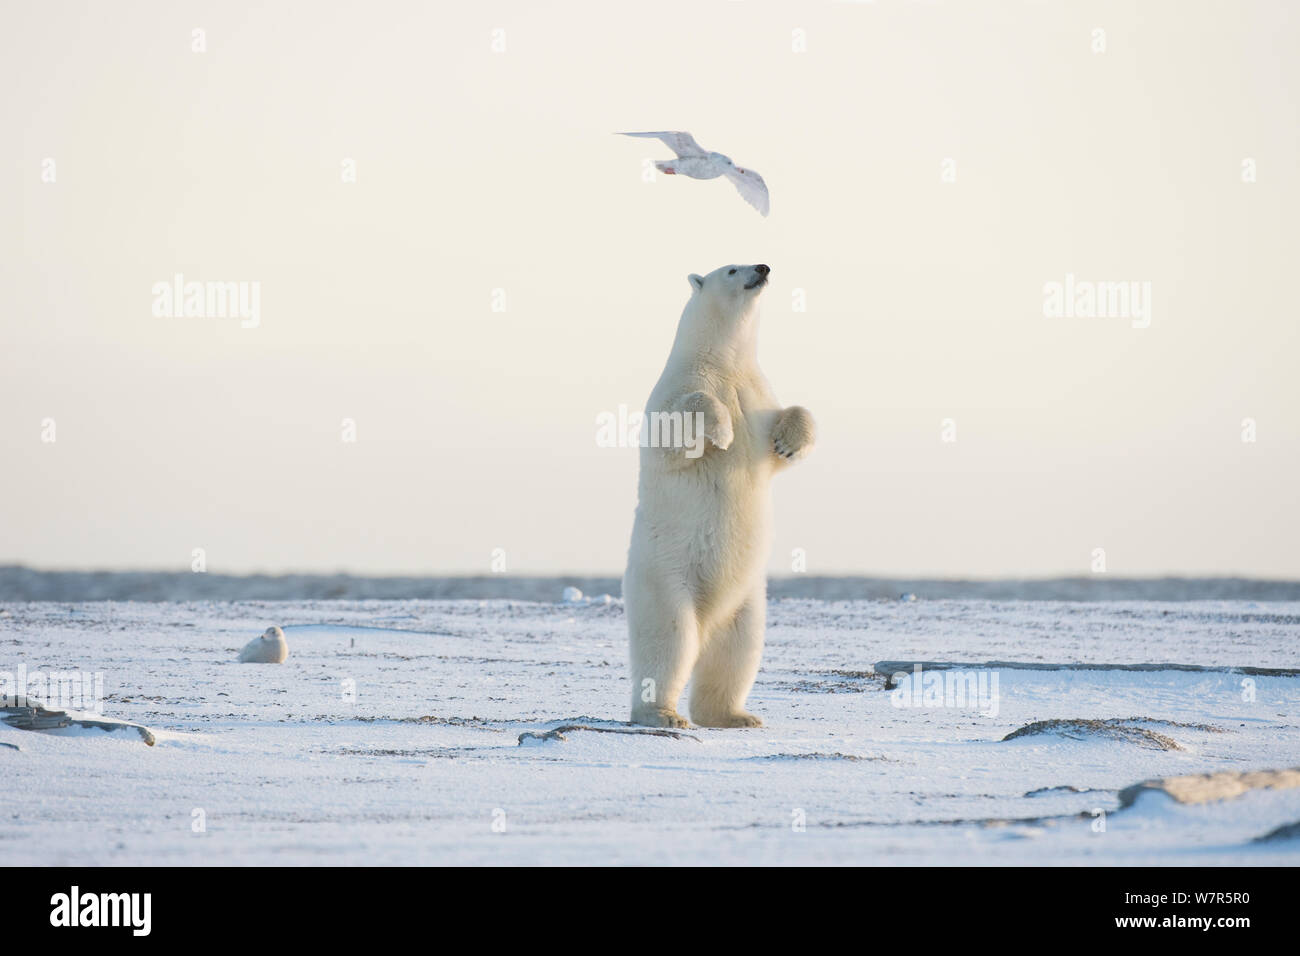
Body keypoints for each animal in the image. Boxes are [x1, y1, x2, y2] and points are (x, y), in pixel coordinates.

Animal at [618, 265, 811, 728]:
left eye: (750, 263)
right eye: (731, 269)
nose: (763, 268)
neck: (724, 363)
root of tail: (708, 618)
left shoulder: (756, 395)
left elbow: (784, 430)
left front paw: (788, 443)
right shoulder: (679, 387)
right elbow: (677, 427)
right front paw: (721, 433)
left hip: (747, 600)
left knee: (737, 650)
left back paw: (735, 715)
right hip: (664, 578)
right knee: (669, 641)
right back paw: (661, 714)